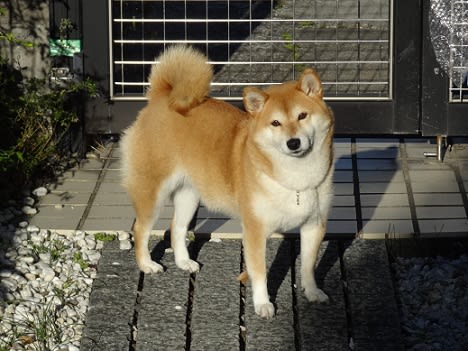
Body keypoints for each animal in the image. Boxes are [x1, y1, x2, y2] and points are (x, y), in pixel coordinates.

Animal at [120, 46, 332, 320]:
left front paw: (313, 292)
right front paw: (263, 304)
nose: (293, 143)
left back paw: (183, 262)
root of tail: (161, 98)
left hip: (189, 195)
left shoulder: (314, 225)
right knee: (141, 229)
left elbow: (307, 266)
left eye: (302, 116)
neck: (296, 178)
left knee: (177, 228)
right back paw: (147, 264)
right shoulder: (255, 230)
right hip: (152, 192)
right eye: (275, 123)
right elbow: (259, 274)